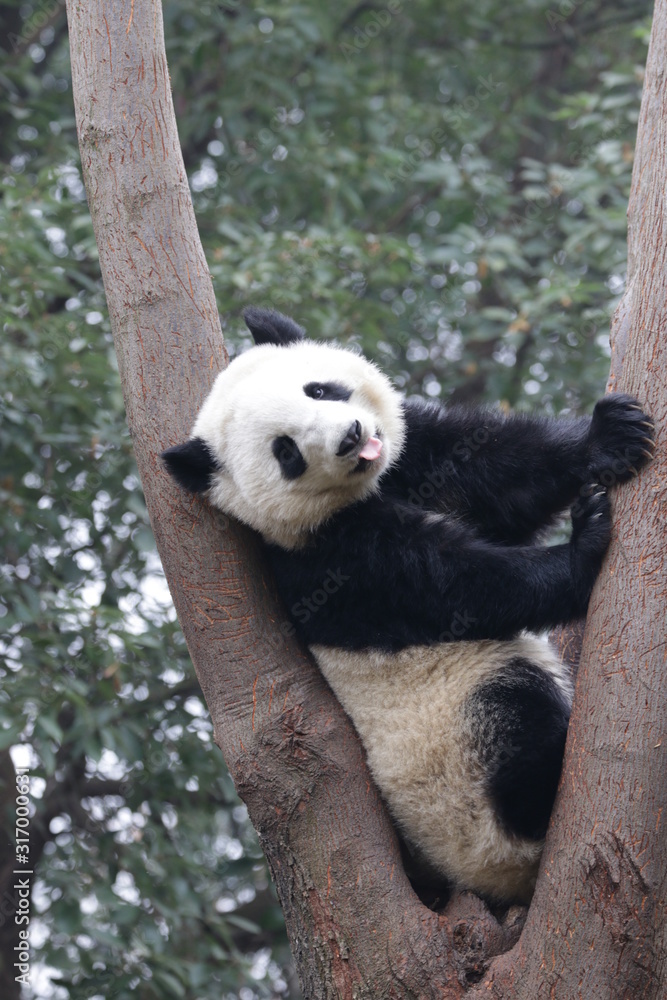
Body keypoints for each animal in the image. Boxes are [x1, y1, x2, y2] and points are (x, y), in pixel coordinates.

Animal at [162, 306, 654, 904]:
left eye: (319, 389)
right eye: (286, 452)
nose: (351, 437)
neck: (364, 492)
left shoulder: (419, 456)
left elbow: (498, 474)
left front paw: (610, 435)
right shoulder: (325, 560)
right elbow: (456, 587)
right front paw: (584, 546)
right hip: (455, 760)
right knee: (511, 716)